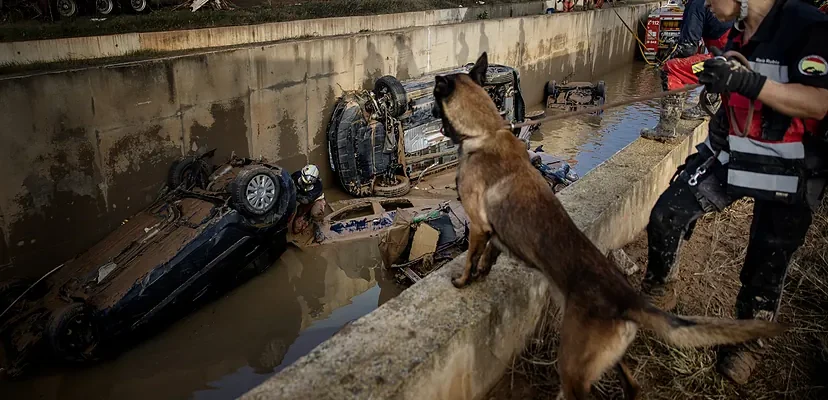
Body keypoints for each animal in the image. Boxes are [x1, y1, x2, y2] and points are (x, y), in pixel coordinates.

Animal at [434, 51, 788, 398]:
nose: (440, 129)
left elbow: (471, 259)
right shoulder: (493, 233)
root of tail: (628, 301)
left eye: (437, 110)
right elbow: (488, 257)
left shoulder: (478, 226)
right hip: (604, 357)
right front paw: (482, 274)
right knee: (632, 385)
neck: (485, 131)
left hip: (572, 366)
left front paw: (463, 281)